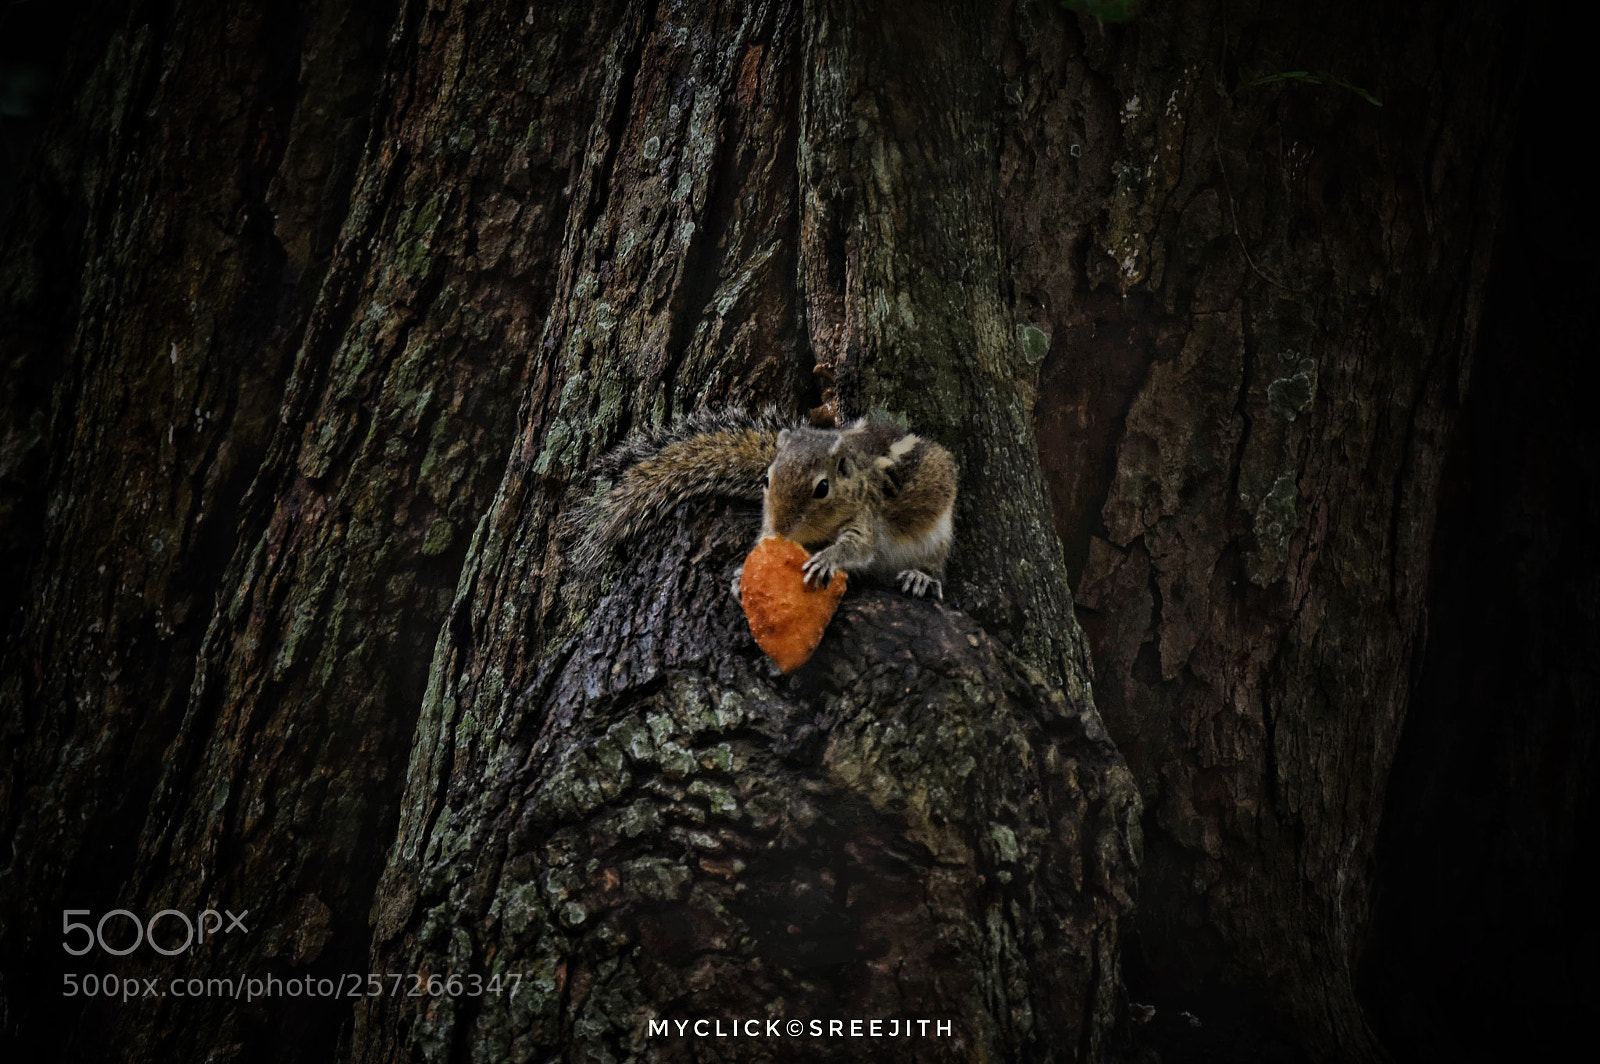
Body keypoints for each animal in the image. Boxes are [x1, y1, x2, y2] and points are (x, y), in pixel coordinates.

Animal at [569, 408, 957, 599]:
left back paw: (922, 578)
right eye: (767, 479)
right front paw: (742, 573)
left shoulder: (867, 516)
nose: (782, 527)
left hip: (936, 538)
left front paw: (826, 559)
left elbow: (856, 546)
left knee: (935, 564)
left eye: (823, 488)